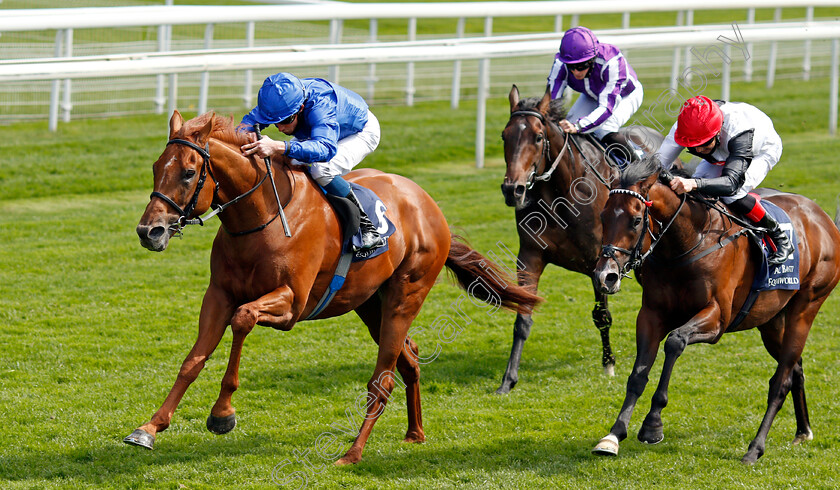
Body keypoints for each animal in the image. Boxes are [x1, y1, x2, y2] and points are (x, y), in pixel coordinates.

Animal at [127, 110, 540, 464]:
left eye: (188, 172)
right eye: (155, 168)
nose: (150, 231)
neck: (263, 217)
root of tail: (430, 207)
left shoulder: (291, 304)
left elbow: (243, 319)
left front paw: (222, 414)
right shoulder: (218, 295)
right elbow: (192, 360)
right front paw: (149, 428)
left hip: (405, 296)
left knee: (383, 379)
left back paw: (352, 453)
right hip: (371, 304)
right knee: (408, 358)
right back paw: (414, 433)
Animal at [496, 85, 680, 394]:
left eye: (538, 137)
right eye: (504, 135)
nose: (513, 190)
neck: (560, 194)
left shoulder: (600, 262)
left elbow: (602, 316)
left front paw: (609, 364)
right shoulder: (530, 256)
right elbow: (523, 315)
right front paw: (508, 380)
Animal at [592, 157, 840, 464]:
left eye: (636, 220)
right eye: (603, 216)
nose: (605, 276)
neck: (689, 242)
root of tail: (823, 218)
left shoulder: (717, 319)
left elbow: (675, 341)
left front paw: (652, 424)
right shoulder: (651, 314)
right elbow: (638, 375)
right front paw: (613, 435)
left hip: (806, 308)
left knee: (781, 381)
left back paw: (755, 448)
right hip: (771, 322)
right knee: (796, 367)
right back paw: (803, 430)